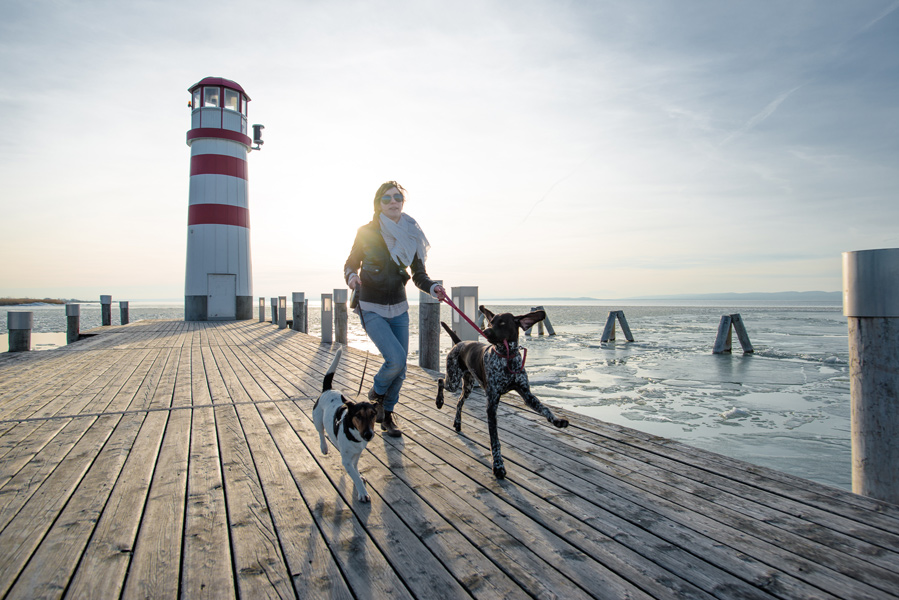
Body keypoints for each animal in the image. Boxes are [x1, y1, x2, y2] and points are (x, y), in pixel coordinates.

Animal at [312, 346, 380, 502]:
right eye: (358, 415)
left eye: (373, 414)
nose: (368, 434)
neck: (355, 436)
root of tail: (328, 390)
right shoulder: (346, 461)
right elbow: (354, 475)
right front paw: (362, 492)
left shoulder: (356, 454)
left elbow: (355, 467)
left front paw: (360, 476)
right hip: (317, 419)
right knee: (320, 432)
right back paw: (324, 447)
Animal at [436, 304, 568, 478]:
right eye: (491, 322)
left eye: (503, 323)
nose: (486, 331)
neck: (507, 358)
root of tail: (460, 343)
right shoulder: (492, 404)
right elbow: (495, 440)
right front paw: (498, 465)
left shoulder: (527, 395)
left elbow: (545, 409)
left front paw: (557, 421)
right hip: (453, 380)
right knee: (440, 381)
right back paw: (439, 401)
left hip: (467, 385)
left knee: (459, 402)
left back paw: (457, 423)